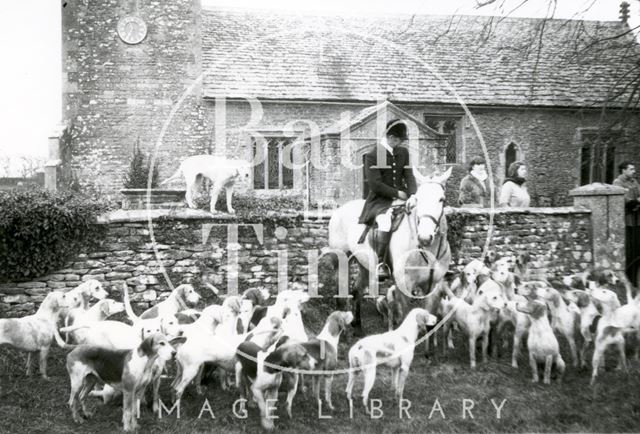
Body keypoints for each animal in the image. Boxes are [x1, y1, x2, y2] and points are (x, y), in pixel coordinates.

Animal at [328, 166, 452, 332]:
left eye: (441, 199)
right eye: (418, 199)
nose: (425, 237)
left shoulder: (433, 288)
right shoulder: (403, 286)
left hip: (365, 265)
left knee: (357, 290)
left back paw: (358, 325)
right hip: (341, 261)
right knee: (341, 295)